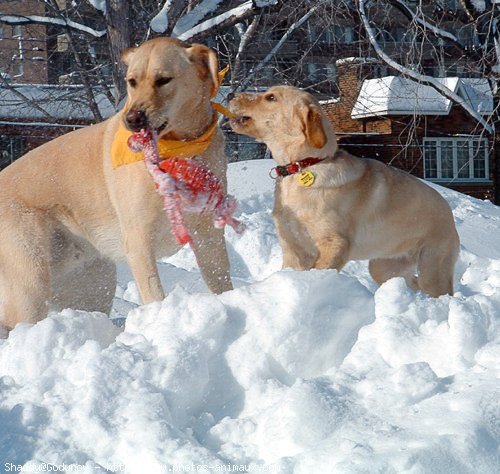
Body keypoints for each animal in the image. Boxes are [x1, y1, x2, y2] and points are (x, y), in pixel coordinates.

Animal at [0, 39, 233, 332]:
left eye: (163, 80)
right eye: (132, 81)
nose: (132, 119)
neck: (180, 152)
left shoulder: (209, 237)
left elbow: (221, 282)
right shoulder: (139, 241)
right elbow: (154, 293)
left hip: (91, 286)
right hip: (31, 284)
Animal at [229, 85, 458, 296]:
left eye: (271, 97)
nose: (230, 94)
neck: (304, 166)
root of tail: (449, 213)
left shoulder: (336, 245)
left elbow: (318, 269)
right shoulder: (293, 248)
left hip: (432, 267)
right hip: (384, 267)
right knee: (411, 282)